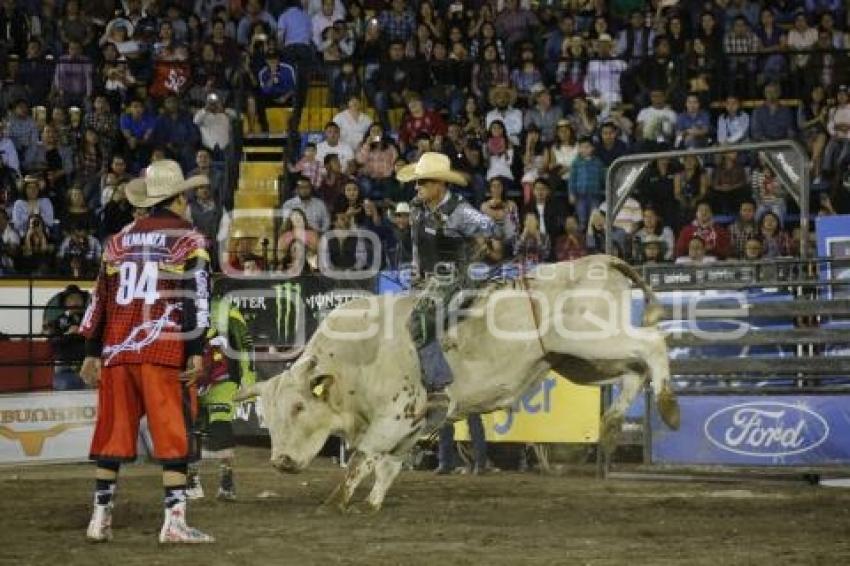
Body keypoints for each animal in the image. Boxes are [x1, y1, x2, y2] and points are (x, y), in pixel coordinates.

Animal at [235, 258, 680, 516]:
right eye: (267, 415)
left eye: (298, 407)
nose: (281, 462)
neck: (353, 358)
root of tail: (599, 259)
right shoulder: (412, 423)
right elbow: (387, 464)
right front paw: (373, 503)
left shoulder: (398, 413)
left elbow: (363, 456)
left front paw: (336, 502)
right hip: (580, 361)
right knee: (634, 369)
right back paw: (613, 425)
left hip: (589, 339)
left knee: (652, 344)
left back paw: (669, 409)